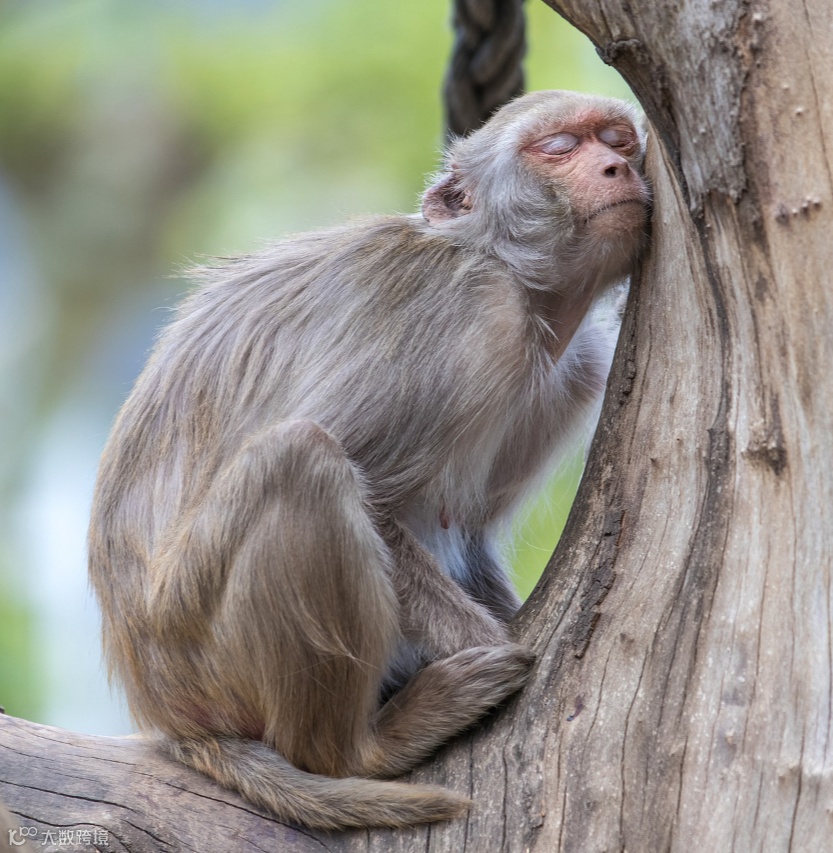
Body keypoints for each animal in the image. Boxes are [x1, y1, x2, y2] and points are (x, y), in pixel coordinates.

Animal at [88, 90, 650, 831]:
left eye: (617, 141)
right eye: (558, 148)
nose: (617, 167)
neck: (514, 280)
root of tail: (166, 713)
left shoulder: (576, 366)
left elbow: (467, 530)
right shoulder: (465, 314)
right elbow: (374, 496)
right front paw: (497, 645)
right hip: (201, 646)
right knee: (302, 459)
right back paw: (360, 749)